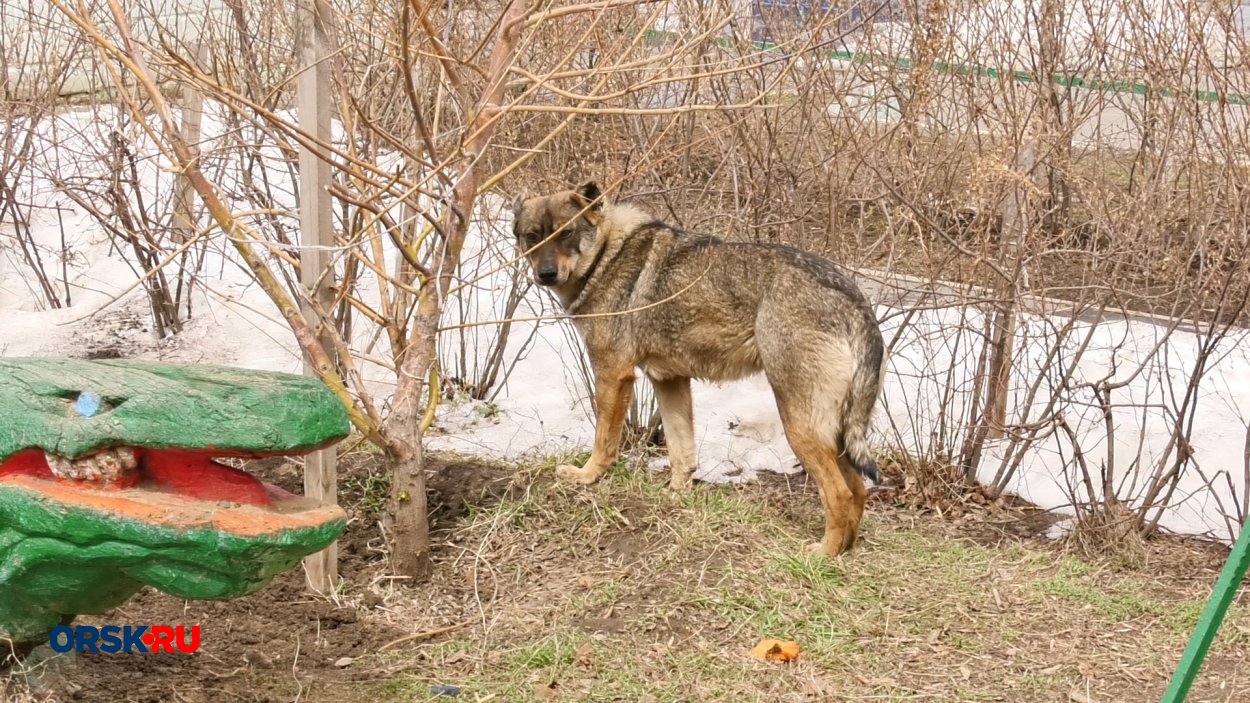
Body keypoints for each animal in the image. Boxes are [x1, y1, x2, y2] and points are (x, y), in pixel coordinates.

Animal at [510, 183, 890, 555]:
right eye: (532, 237)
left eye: (566, 233)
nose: (545, 274)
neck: (606, 256)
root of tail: (855, 300)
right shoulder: (669, 381)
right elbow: (682, 453)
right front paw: (675, 496)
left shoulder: (613, 375)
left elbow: (604, 443)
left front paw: (587, 477)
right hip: (832, 431)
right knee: (858, 491)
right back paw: (844, 550)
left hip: (800, 425)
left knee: (839, 493)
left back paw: (823, 554)